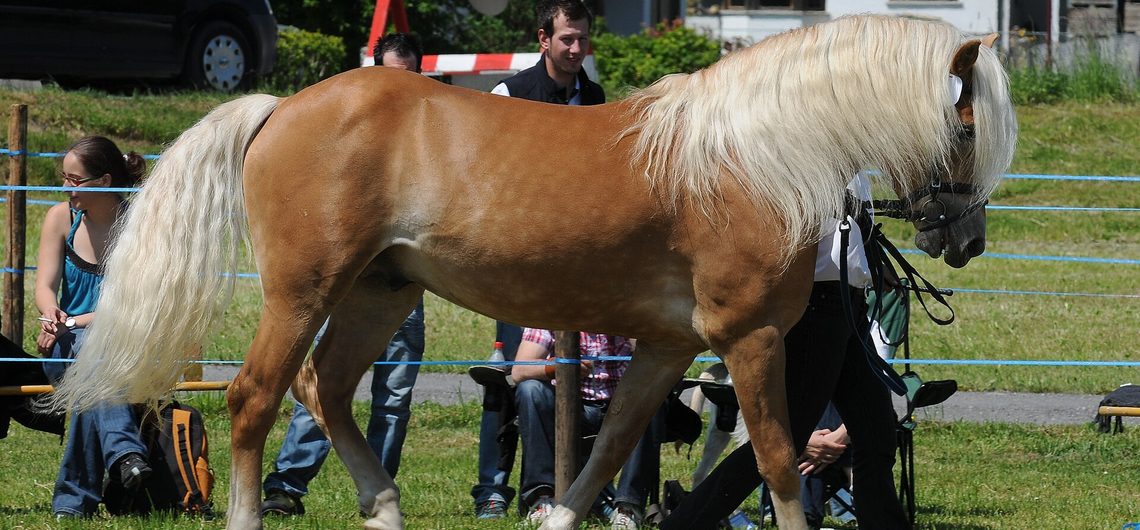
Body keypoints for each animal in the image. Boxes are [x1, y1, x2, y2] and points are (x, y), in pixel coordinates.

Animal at [50, 14, 1016, 530]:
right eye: (965, 123)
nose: (963, 237)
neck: (754, 155)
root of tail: (280, 107)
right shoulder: (751, 340)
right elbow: (777, 459)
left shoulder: (666, 349)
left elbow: (613, 446)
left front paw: (554, 513)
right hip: (304, 292)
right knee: (256, 398)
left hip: (378, 294)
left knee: (325, 390)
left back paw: (386, 505)